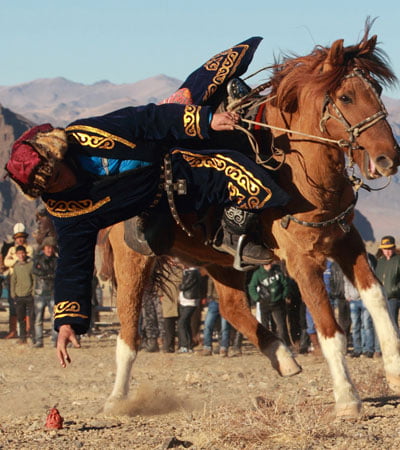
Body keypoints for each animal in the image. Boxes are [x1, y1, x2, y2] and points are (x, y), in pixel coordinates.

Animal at [104, 25, 400, 418]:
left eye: (377, 90)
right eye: (346, 96)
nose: (388, 158)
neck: (299, 169)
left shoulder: (345, 240)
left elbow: (378, 302)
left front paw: (395, 374)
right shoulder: (302, 261)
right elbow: (329, 329)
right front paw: (348, 398)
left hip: (218, 259)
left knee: (231, 308)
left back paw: (282, 356)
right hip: (133, 258)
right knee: (128, 329)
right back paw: (117, 398)